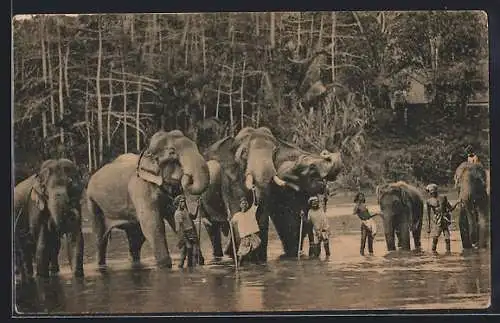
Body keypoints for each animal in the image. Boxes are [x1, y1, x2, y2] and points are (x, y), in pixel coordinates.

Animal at [85, 130, 210, 270]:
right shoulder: (140, 188)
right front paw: (165, 266)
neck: (147, 153)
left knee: (136, 239)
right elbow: (153, 224)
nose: (187, 176)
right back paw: (100, 266)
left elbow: (174, 217)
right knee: (100, 237)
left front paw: (200, 262)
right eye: (172, 153)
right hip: (93, 203)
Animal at [197, 126, 342, 264]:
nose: (326, 154)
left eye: (274, 153)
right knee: (211, 227)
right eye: (244, 153)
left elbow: (273, 218)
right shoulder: (230, 180)